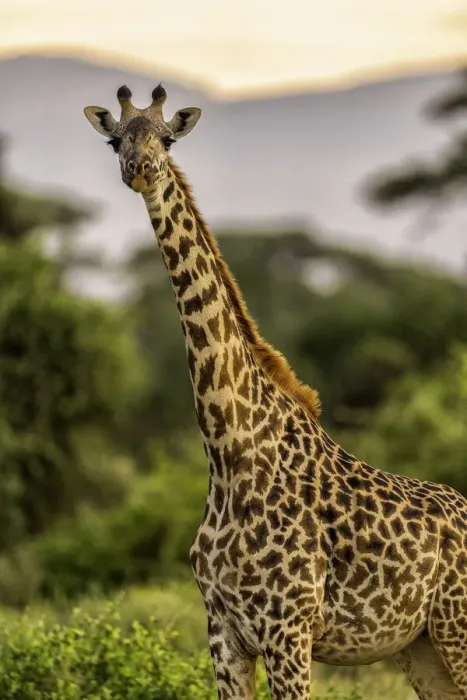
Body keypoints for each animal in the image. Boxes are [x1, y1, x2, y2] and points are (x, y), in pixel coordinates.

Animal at [84, 85, 467, 700]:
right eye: (115, 141)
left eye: (167, 139)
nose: (140, 170)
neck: (231, 453)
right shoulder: (223, 634)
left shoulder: (290, 629)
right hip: (421, 645)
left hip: (455, 630)